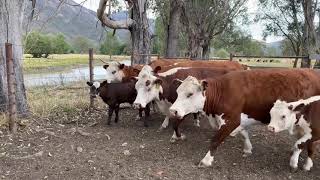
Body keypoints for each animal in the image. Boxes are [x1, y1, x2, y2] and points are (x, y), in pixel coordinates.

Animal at [169, 69, 320, 167]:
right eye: (178, 92)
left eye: (190, 94)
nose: (172, 110)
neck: (223, 91)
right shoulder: (239, 120)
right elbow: (244, 133)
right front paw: (248, 148)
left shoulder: (231, 120)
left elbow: (215, 140)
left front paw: (206, 160)